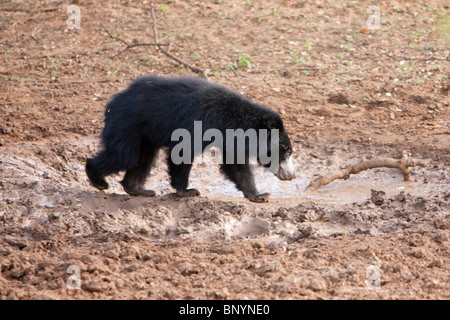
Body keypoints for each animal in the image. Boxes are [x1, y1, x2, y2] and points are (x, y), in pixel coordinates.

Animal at [86, 75, 296, 202]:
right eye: (285, 151)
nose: (292, 175)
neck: (233, 120)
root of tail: (113, 101)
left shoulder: (231, 139)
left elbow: (236, 166)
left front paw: (258, 195)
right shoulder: (198, 122)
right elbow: (182, 151)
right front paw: (187, 191)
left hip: (144, 134)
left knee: (142, 159)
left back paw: (138, 189)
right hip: (127, 123)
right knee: (123, 156)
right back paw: (98, 180)